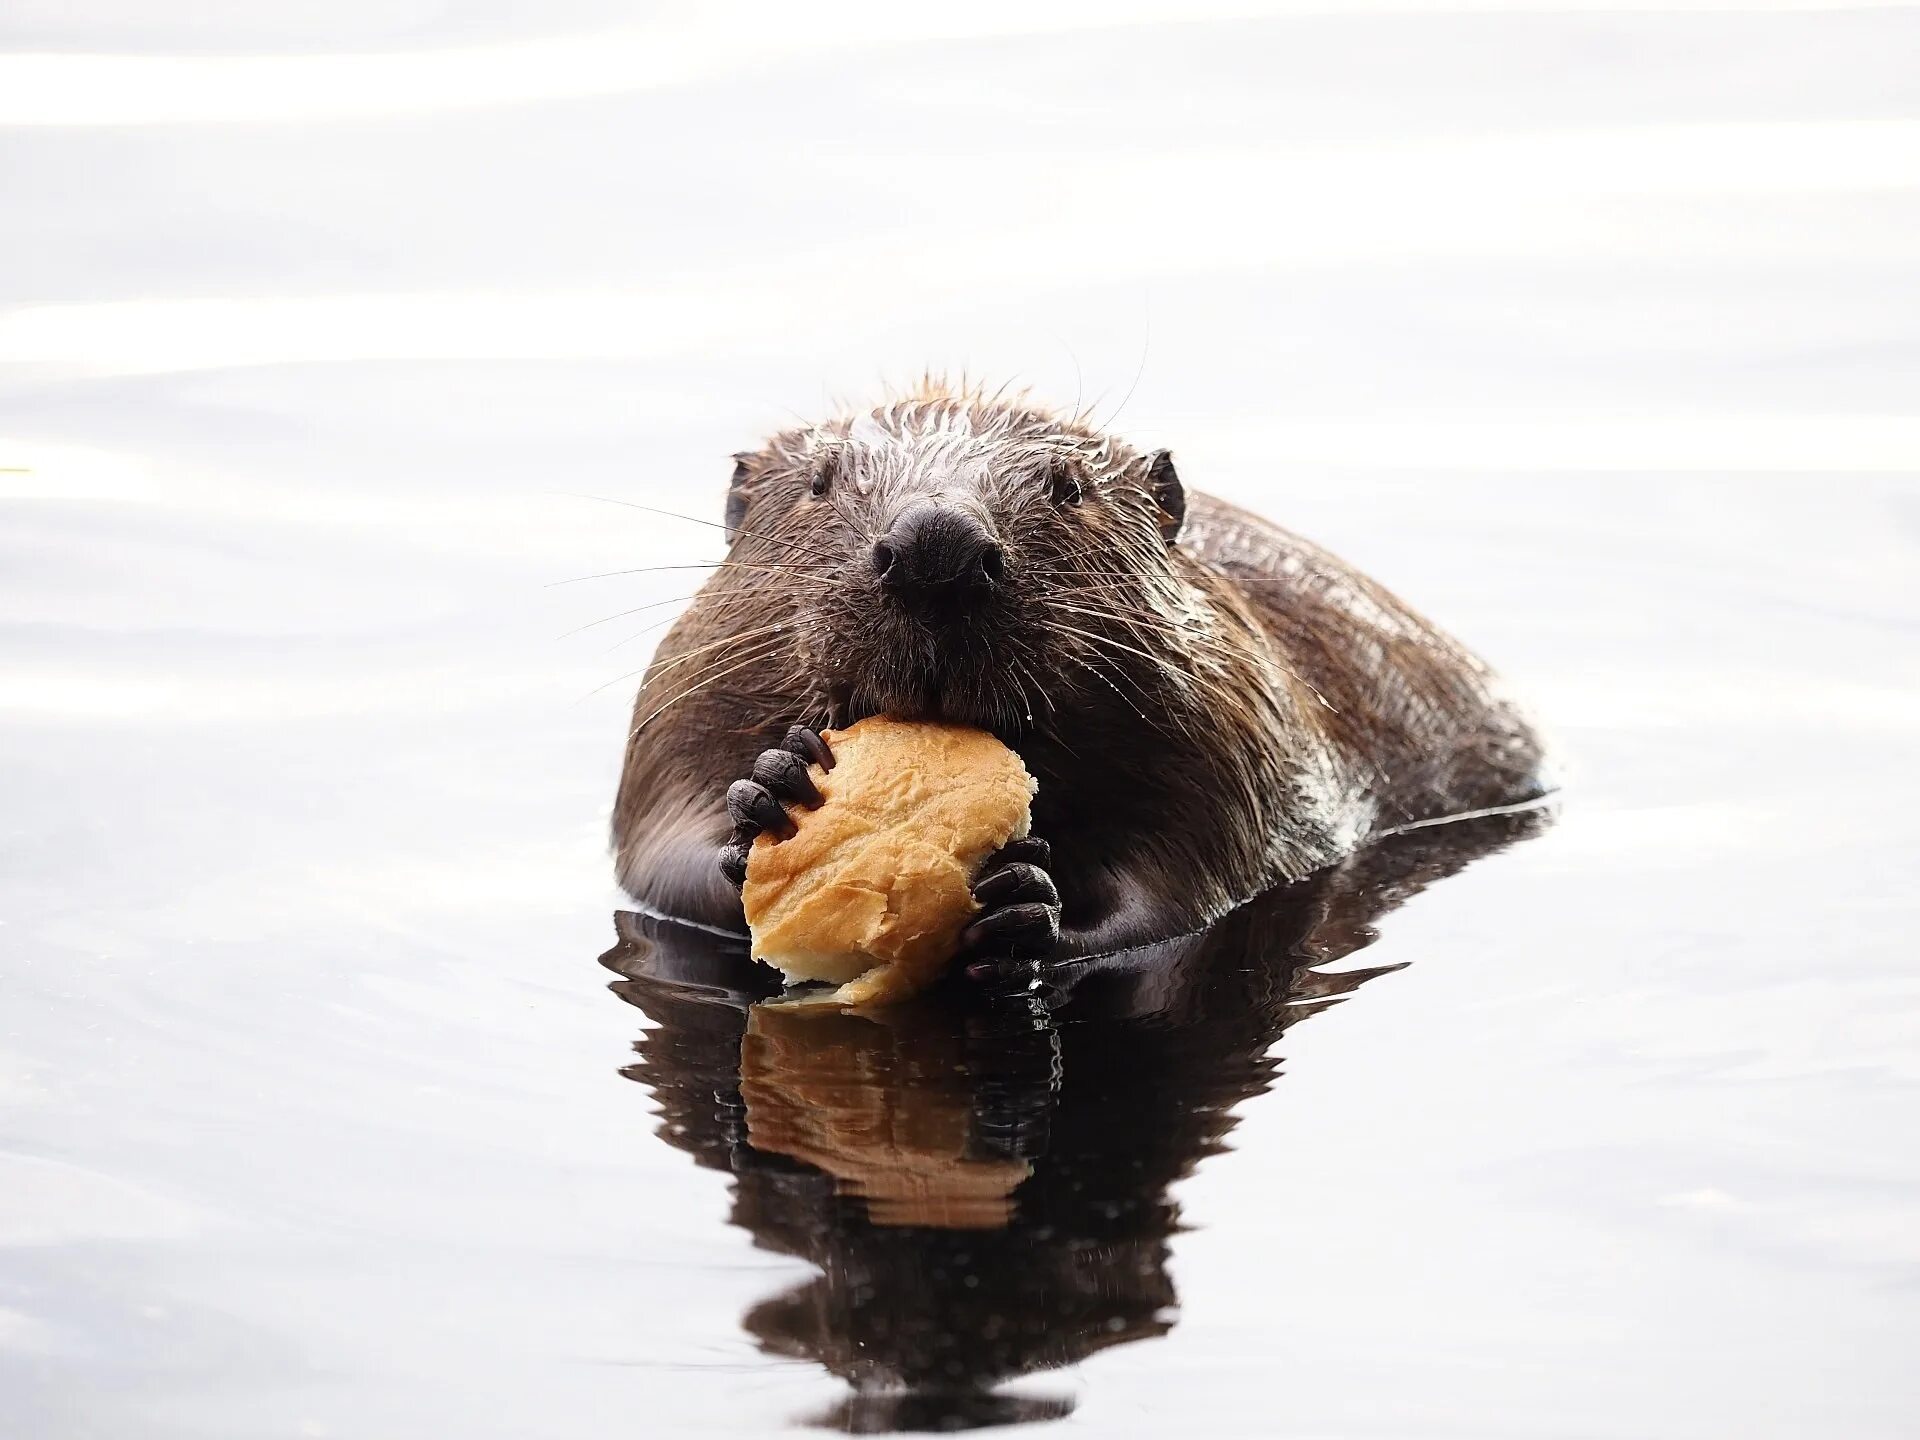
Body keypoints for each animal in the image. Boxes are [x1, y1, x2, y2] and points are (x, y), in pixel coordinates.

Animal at [614, 380, 1543, 983]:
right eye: (818, 483)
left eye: (1071, 488)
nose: (936, 547)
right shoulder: (680, 699)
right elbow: (658, 867)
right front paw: (773, 793)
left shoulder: (1237, 726)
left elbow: (1183, 897)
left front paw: (1026, 901)